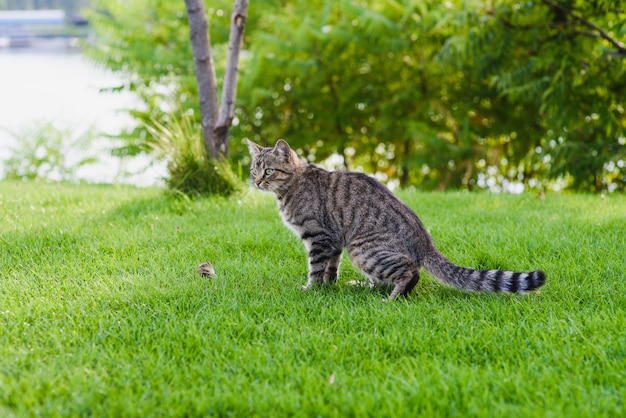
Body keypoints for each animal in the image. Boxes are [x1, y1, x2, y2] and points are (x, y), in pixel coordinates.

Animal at [246, 140, 544, 300]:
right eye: (252, 170)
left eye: (269, 171)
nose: (257, 182)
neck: (290, 187)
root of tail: (426, 242)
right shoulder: (334, 241)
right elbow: (331, 268)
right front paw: (328, 288)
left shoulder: (319, 236)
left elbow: (316, 268)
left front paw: (311, 290)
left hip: (362, 250)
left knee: (410, 272)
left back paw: (392, 298)